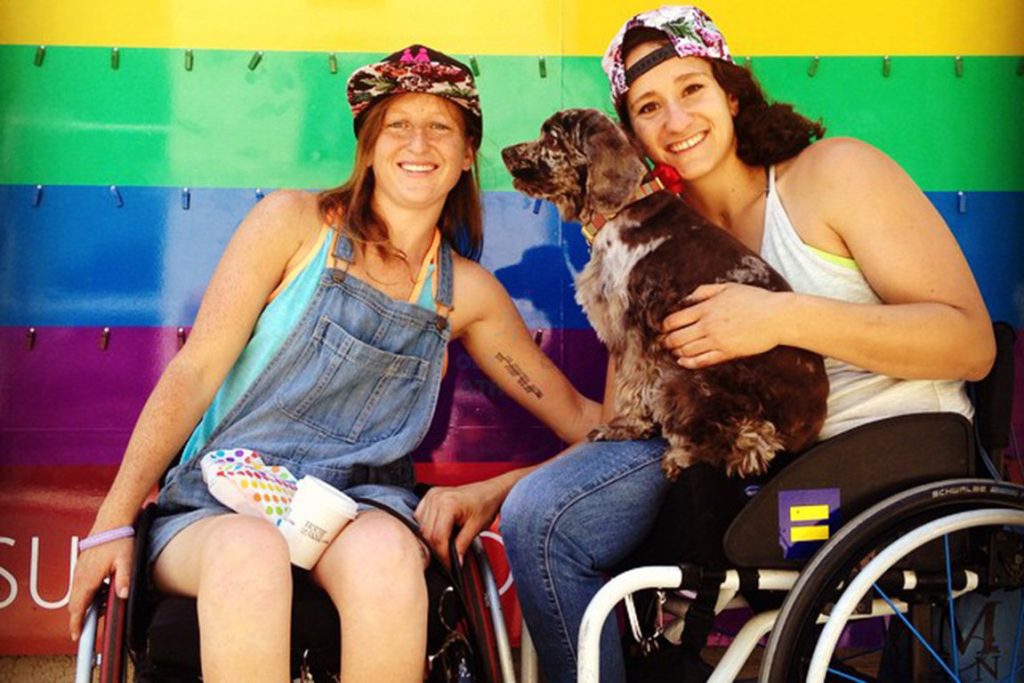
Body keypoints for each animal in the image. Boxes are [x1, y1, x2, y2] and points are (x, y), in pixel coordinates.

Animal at [499, 109, 827, 479]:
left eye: (552, 139)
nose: (506, 153)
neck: (621, 209)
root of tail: (811, 428)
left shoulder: (633, 324)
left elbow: (632, 382)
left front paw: (624, 426)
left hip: (688, 377)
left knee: (754, 442)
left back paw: (682, 455)